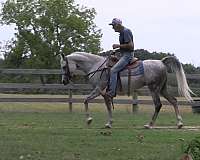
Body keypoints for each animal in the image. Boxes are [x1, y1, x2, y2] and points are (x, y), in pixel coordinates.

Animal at [59, 51, 194, 129]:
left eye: (64, 66)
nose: (64, 81)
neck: (96, 66)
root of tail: (161, 62)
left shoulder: (99, 89)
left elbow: (86, 100)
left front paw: (89, 120)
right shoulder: (104, 93)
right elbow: (108, 106)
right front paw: (109, 122)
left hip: (154, 89)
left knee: (158, 105)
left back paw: (149, 124)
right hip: (162, 89)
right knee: (174, 101)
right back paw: (179, 123)